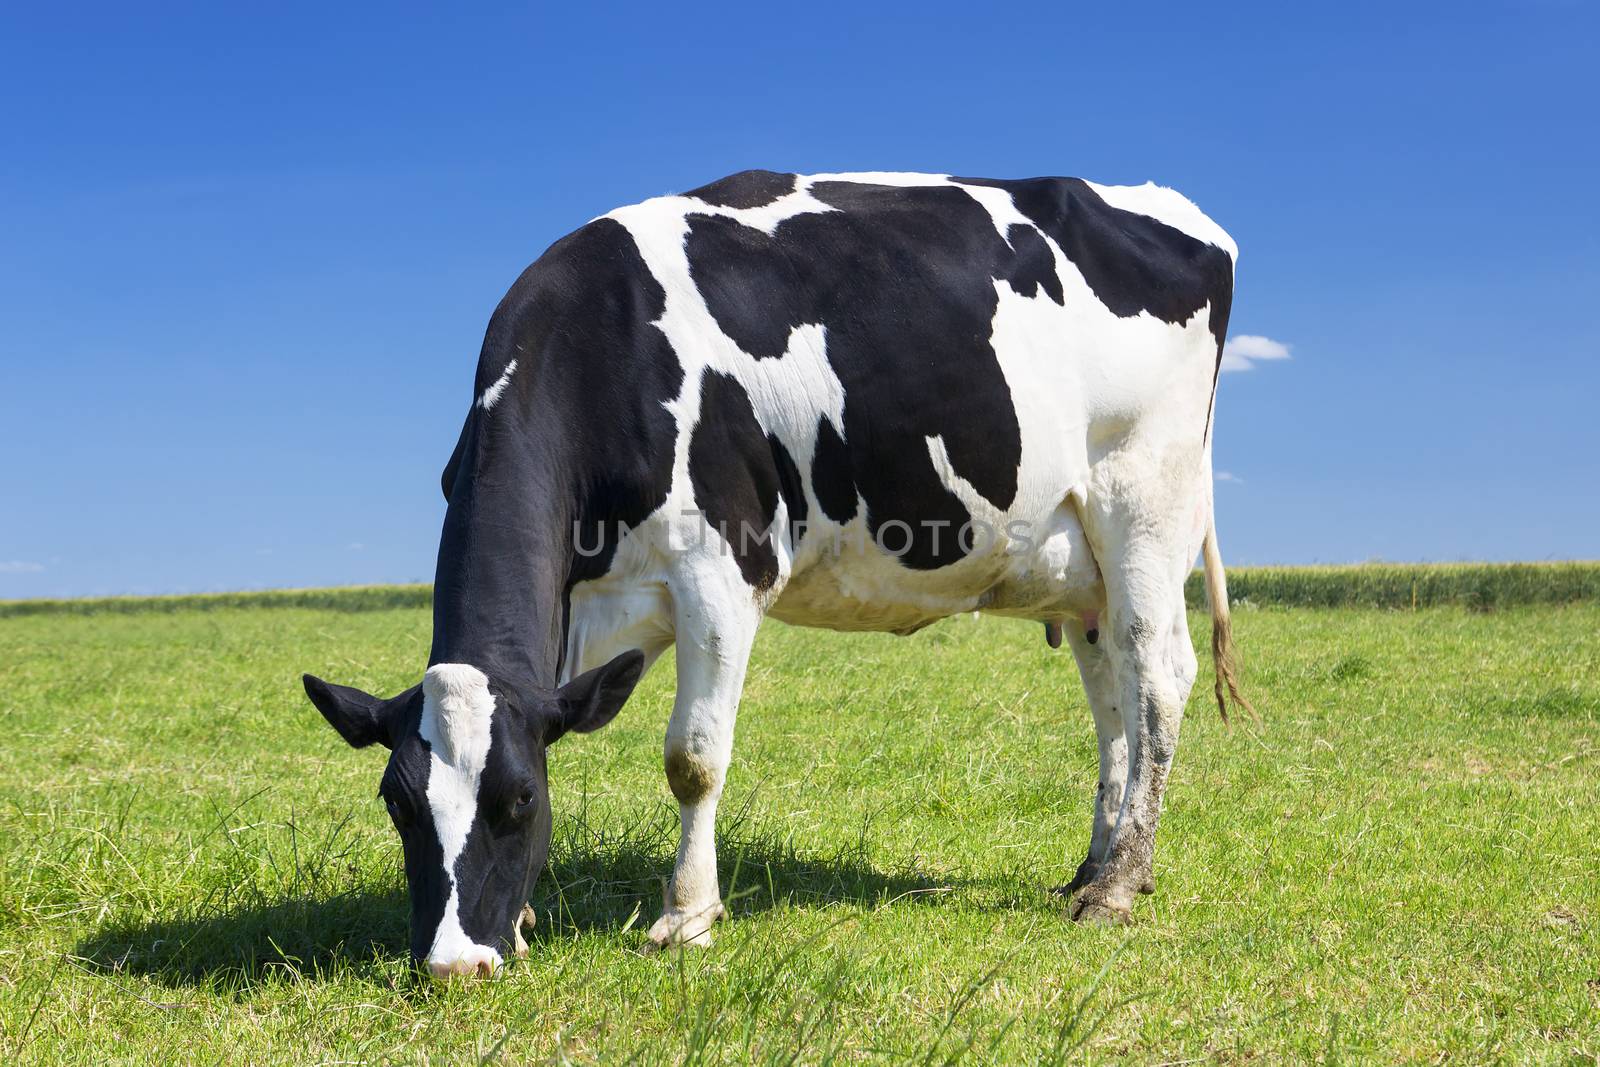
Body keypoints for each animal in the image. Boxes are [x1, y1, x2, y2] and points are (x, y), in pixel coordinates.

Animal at [300, 171, 1248, 979]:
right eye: (397, 803)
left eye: (518, 799)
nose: (456, 963)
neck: (604, 346)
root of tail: (1176, 210)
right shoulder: (579, 612)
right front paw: (529, 917)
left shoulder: (720, 570)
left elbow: (692, 757)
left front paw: (686, 917)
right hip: (1080, 560)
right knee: (1112, 697)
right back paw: (1095, 865)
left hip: (1145, 504)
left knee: (1159, 676)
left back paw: (1118, 887)